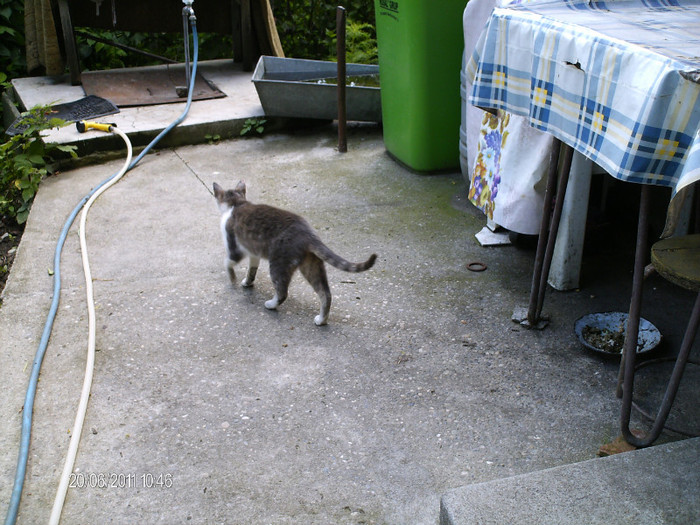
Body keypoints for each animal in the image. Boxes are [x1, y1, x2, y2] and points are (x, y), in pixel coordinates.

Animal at [213, 182, 378, 326]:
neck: (237, 203)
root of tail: (308, 233)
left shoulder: (235, 247)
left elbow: (228, 262)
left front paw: (232, 279)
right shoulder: (253, 253)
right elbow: (251, 270)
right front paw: (247, 282)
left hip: (279, 264)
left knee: (282, 292)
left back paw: (271, 304)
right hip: (312, 265)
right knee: (325, 294)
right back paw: (321, 320)